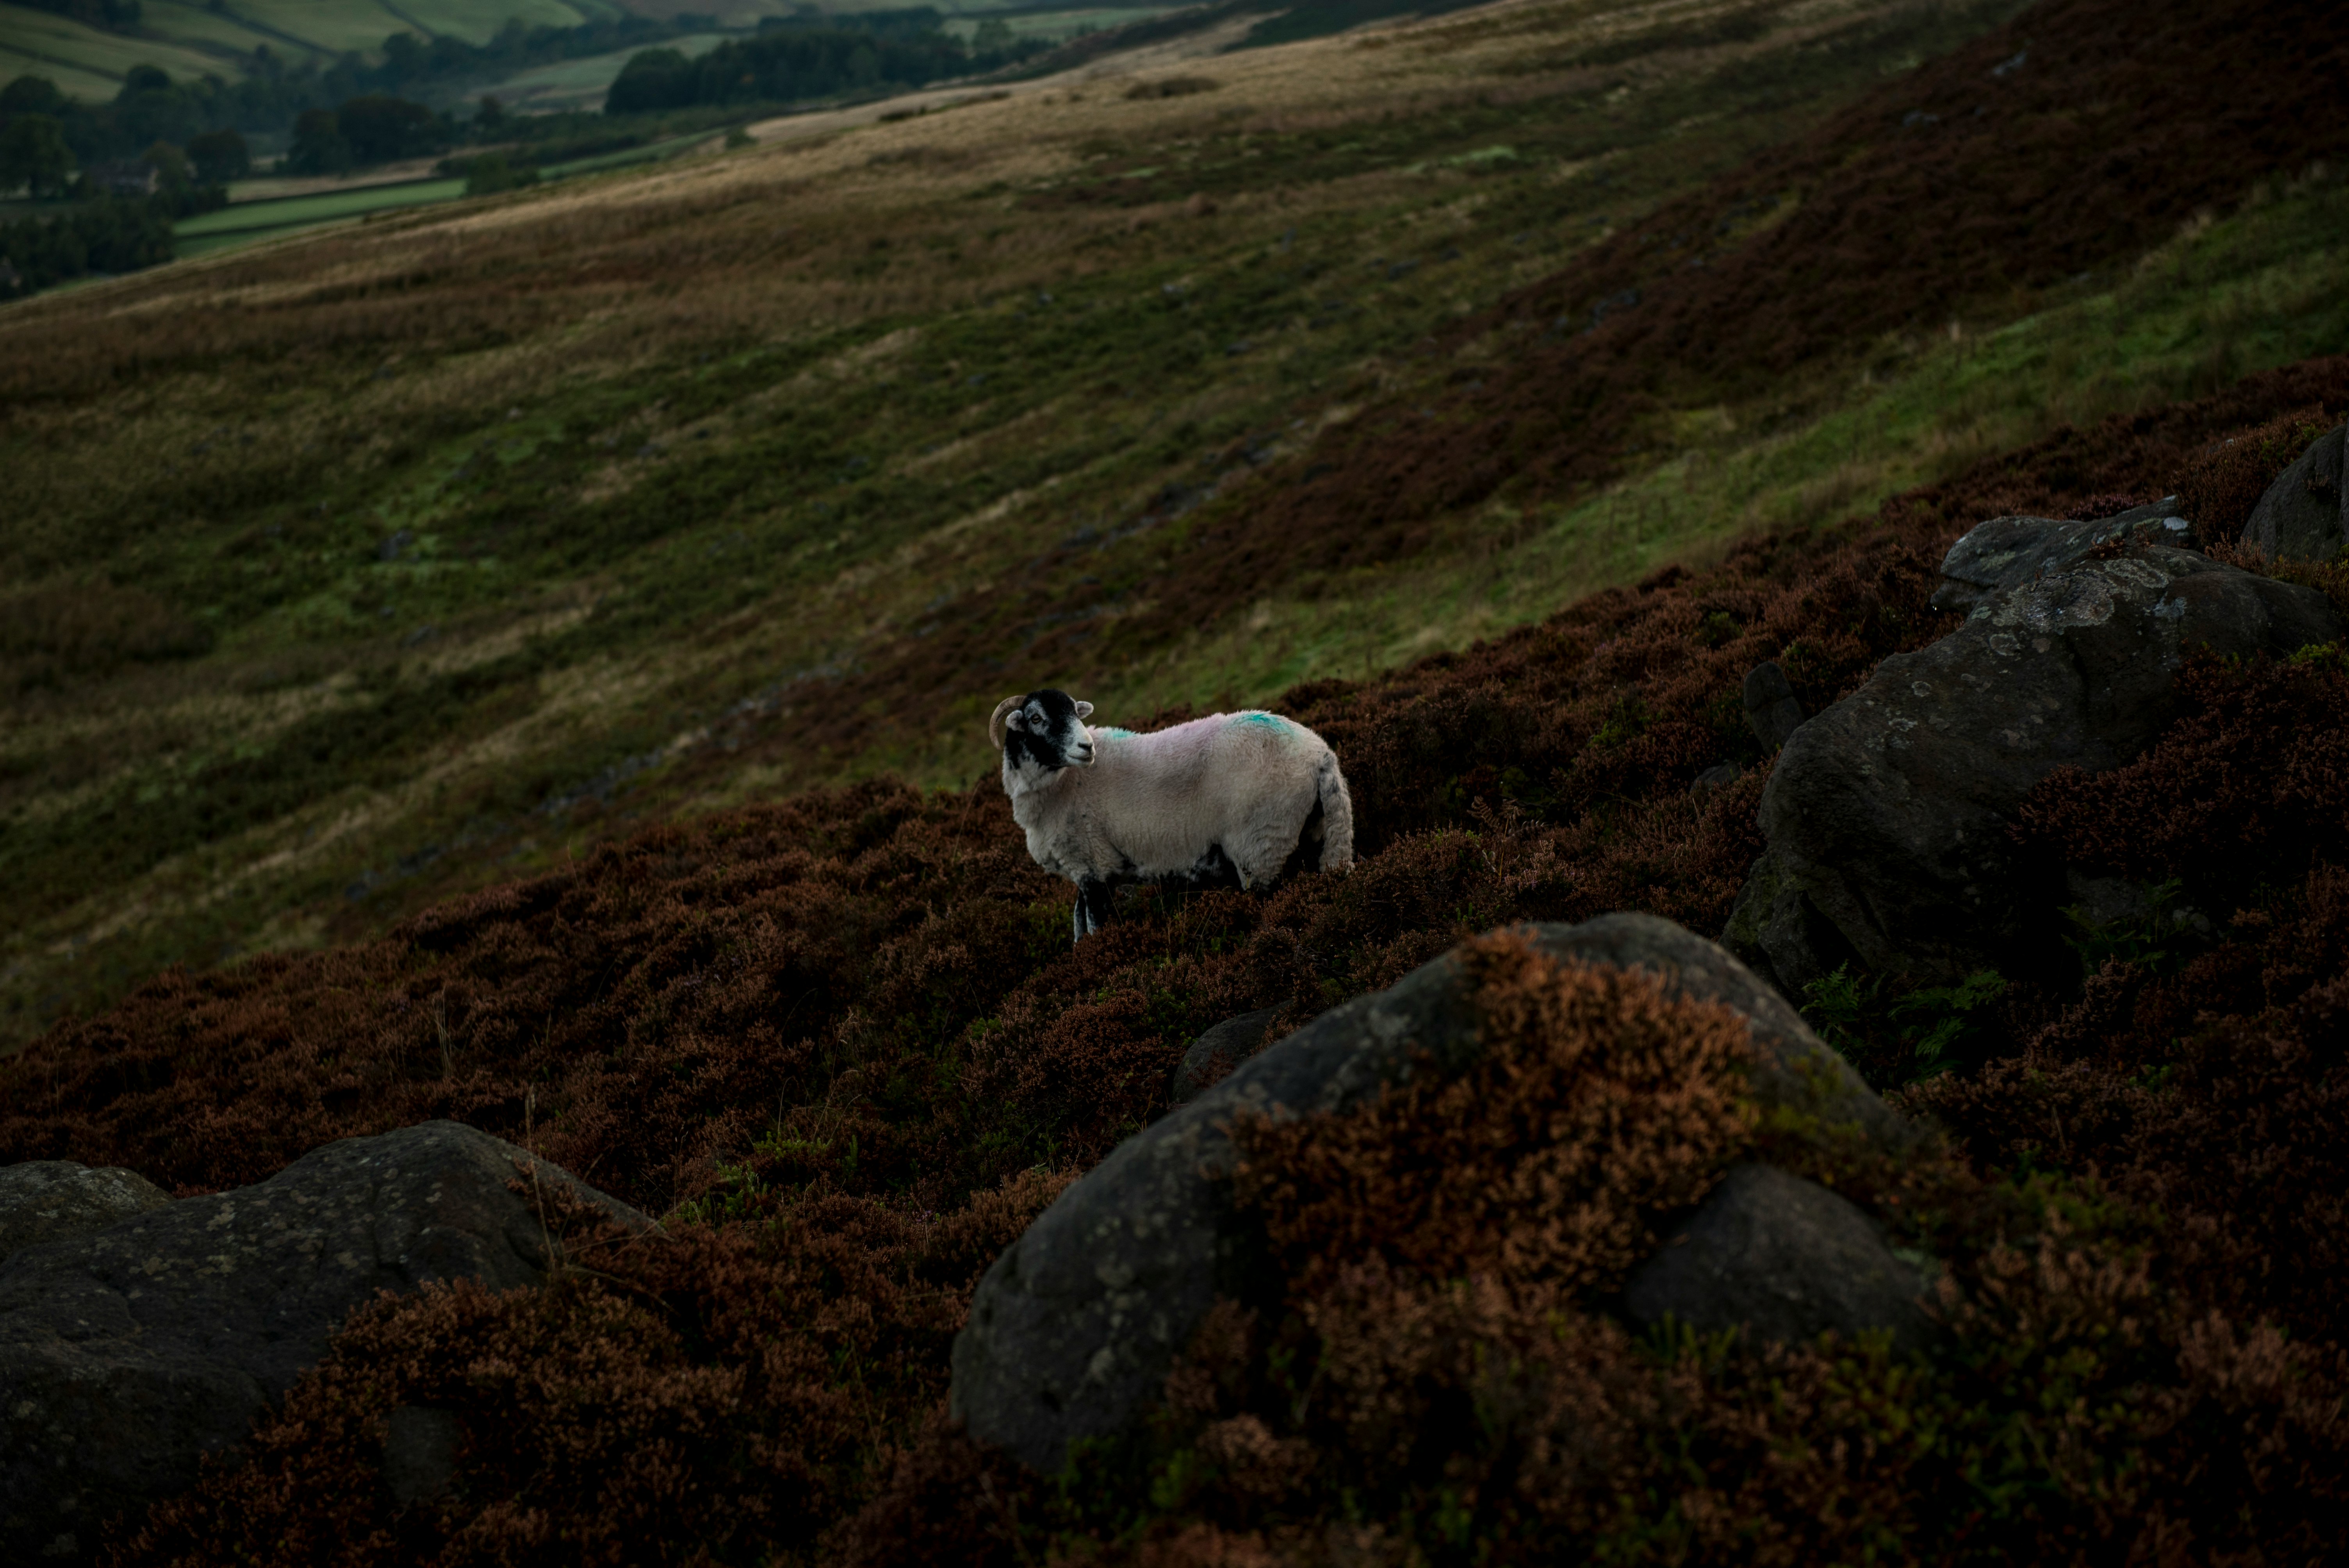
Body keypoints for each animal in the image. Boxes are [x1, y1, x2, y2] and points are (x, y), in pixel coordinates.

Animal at [991, 690, 1362, 943]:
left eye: (1074, 712)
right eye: (1036, 718)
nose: (1087, 748)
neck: (1061, 785)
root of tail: (1320, 755)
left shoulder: (1092, 864)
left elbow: (1094, 926)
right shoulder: (1085, 869)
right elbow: (1078, 923)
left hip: (1261, 844)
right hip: (1312, 830)